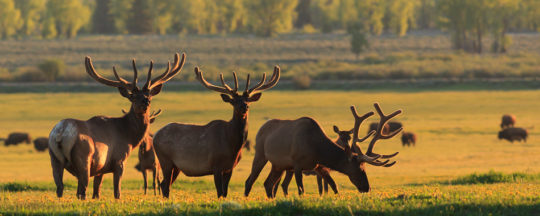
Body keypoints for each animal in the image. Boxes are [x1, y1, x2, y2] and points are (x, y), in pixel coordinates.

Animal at [47, 52, 186, 199]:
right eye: (132, 96)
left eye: (149, 95)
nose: (146, 102)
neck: (128, 136)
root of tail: (61, 132)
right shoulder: (119, 160)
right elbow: (117, 192)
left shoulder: (100, 169)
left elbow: (97, 192)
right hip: (84, 158)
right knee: (82, 191)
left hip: (54, 158)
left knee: (60, 187)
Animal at [154, 66, 280, 198]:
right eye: (233, 101)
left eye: (248, 100)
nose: (244, 107)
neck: (232, 146)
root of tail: (155, 136)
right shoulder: (216, 165)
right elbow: (219, 192)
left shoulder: (230, 168)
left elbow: (225, 193)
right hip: (165, 160)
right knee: (165, 185)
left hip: (176, 166)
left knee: (164, 184)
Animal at [245, 103, 400, 197]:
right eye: (360, 168)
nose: (366, 188)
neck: (316, 149)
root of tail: (262, 127)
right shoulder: (297, 164)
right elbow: (301, 190)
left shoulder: (319, 166)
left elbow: (333, 186)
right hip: (260, 154)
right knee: (250, 181)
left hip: (279, 165)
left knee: (268, 184)